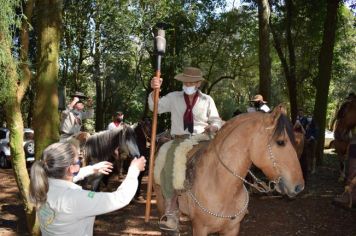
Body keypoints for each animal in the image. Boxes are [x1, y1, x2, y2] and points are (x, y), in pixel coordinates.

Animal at [153, 105, 304, 236]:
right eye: (280, 142)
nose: (299, 187)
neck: (220, 185)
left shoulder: (232, 229)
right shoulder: (199, 228)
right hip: (161, 205)